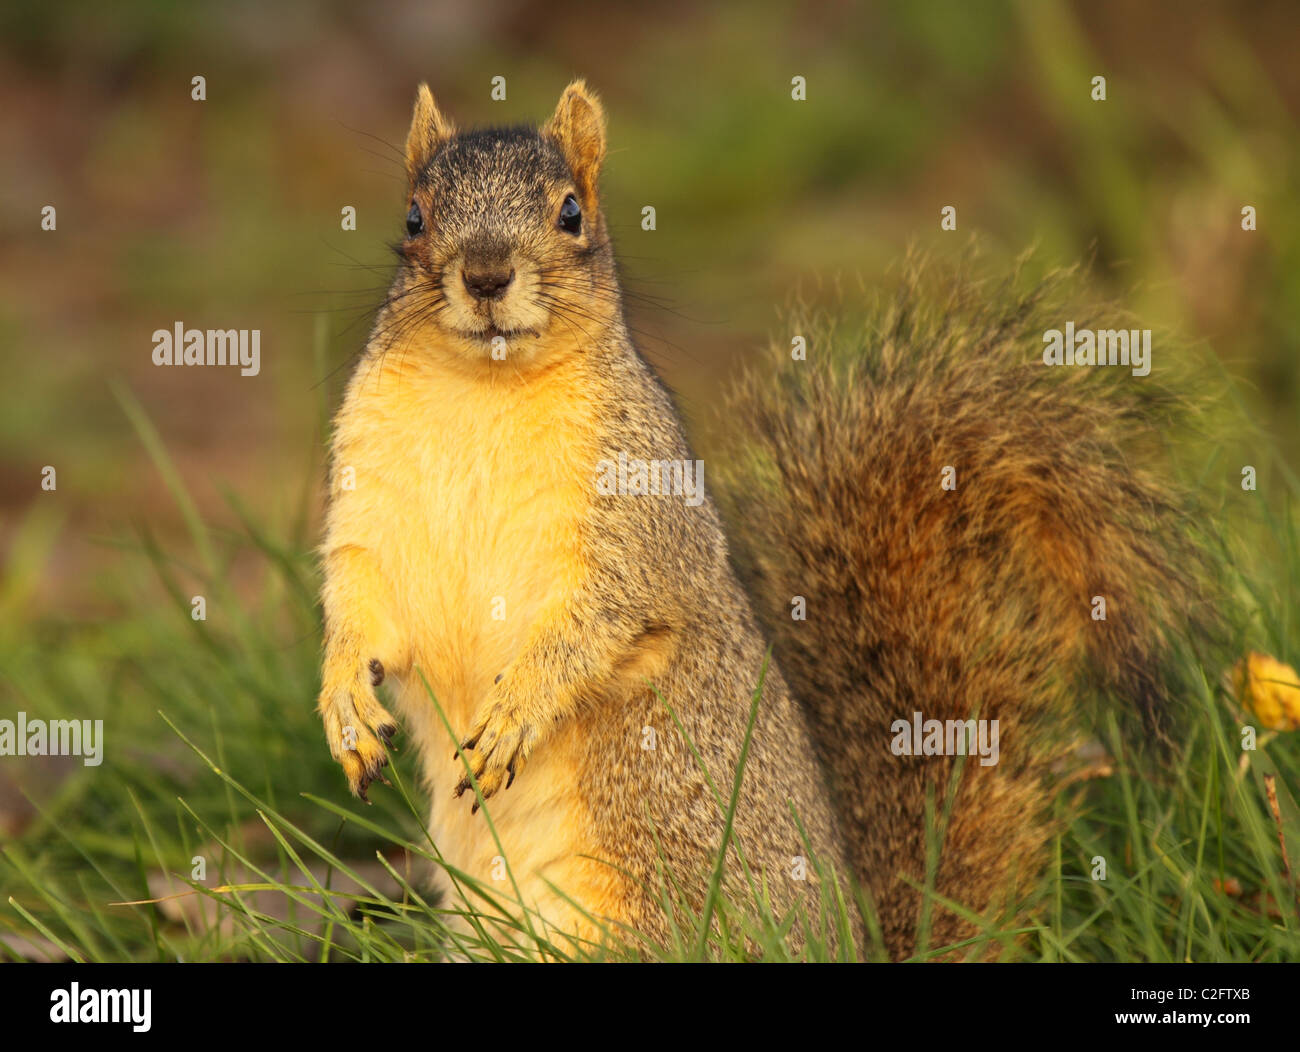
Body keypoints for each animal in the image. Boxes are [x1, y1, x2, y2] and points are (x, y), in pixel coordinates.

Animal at [316, 80, 1212, 959]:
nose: (486, 275)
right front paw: (345, 705)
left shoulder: (640, 513)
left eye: (571, 212)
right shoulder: (371, 500)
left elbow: (605, 615)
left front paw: (516, 713)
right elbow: (360, 603)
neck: (486, 393)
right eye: (414, 216)